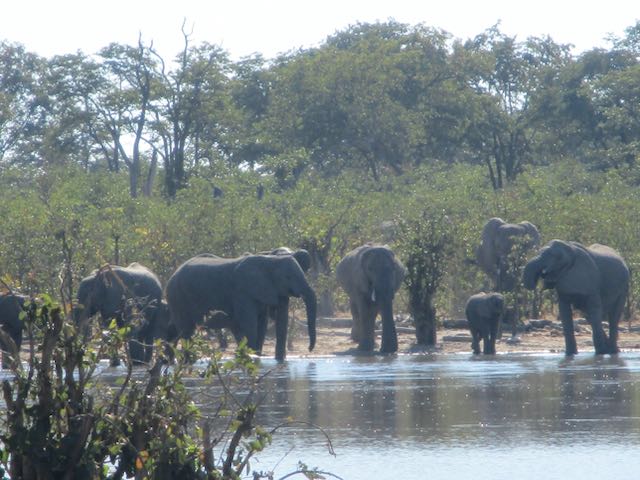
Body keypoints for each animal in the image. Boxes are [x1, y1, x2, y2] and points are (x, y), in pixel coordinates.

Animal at [165, 253, 317, 361]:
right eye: (288, 277)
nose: (309, 349)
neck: (271, 261)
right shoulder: (243, 291)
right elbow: (250, 323)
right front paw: (252, 357)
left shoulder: (275, 291)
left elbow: (271, 322)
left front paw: (277, 361)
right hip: (177, 296)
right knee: (186, 330)